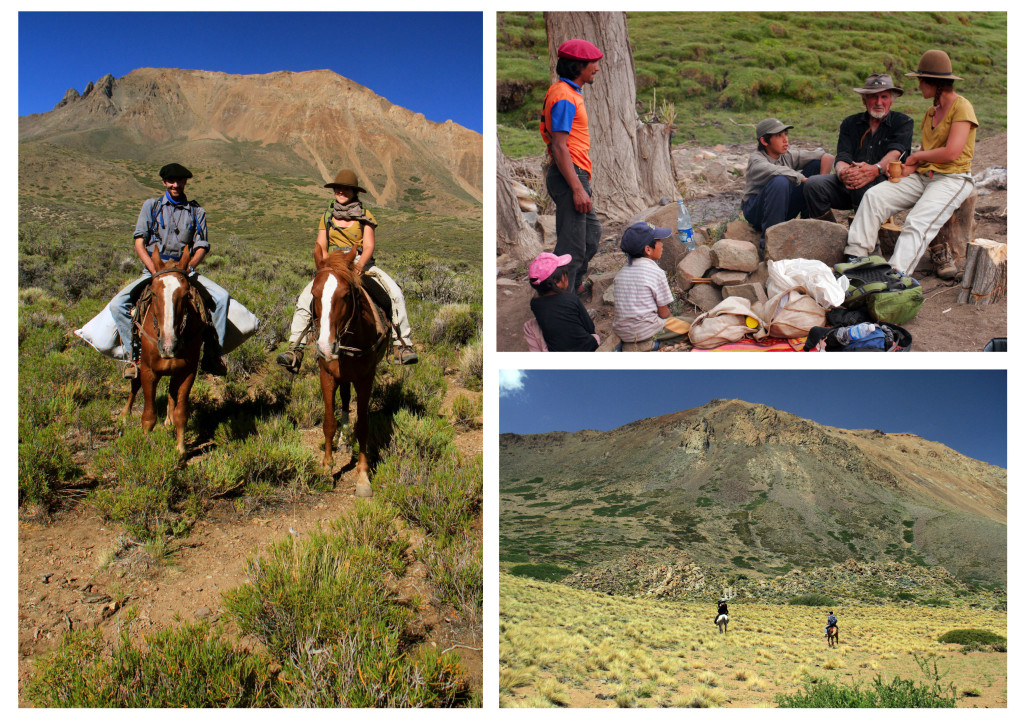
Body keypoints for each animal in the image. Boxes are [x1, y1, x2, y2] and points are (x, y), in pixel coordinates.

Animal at [120, 246, 202, 456]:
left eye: (186, 294)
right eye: (155, 293)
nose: (168, 346)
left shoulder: (188, 372)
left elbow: (181, 412)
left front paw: (181, 449)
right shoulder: (148, 372)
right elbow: (148, 415)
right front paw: (145, 445)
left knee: (172, 393)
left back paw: (169, 420)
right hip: (138, 362)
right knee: (134, 385)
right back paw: (124, 414)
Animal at [309, 250, 389, 497]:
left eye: (345, 295)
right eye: (314, 294)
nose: (326, 347)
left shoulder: (365, 378)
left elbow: (362, 425)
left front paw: (363, 477)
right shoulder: (326, 375)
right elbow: (328, 423)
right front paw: (327, 468)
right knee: (344, 400)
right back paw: (343, 438)